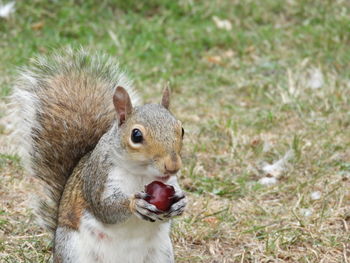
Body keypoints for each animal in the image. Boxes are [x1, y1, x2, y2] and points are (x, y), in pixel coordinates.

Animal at [10, 48, 186, 262]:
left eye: (181, 129)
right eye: (136, 135)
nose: (173, 166)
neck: (142, 173)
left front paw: (181, 202)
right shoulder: (99, 178)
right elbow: (104, 208)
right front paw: (134, 203)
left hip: (162, 253)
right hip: (72, 249)